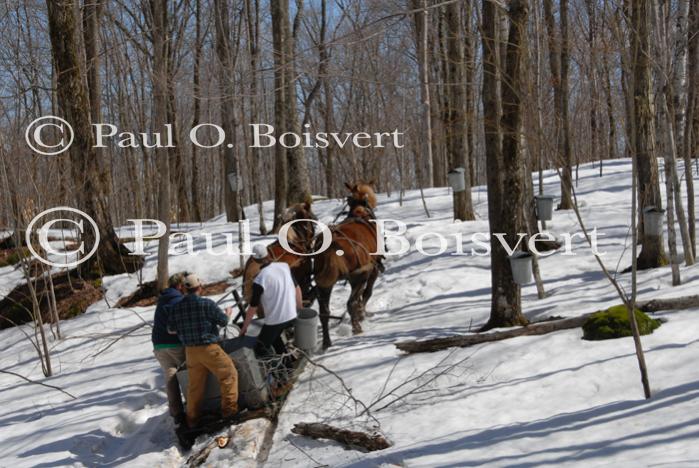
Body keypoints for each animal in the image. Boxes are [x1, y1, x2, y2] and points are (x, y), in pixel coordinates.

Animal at [314, 205, 382, 348]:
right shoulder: (371, 270)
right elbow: (367, 293)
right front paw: (362, 314)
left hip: (324, 285)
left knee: (324, 312)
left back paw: (326, 342)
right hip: (360, 275)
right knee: (351, 302)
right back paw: (357, 328)